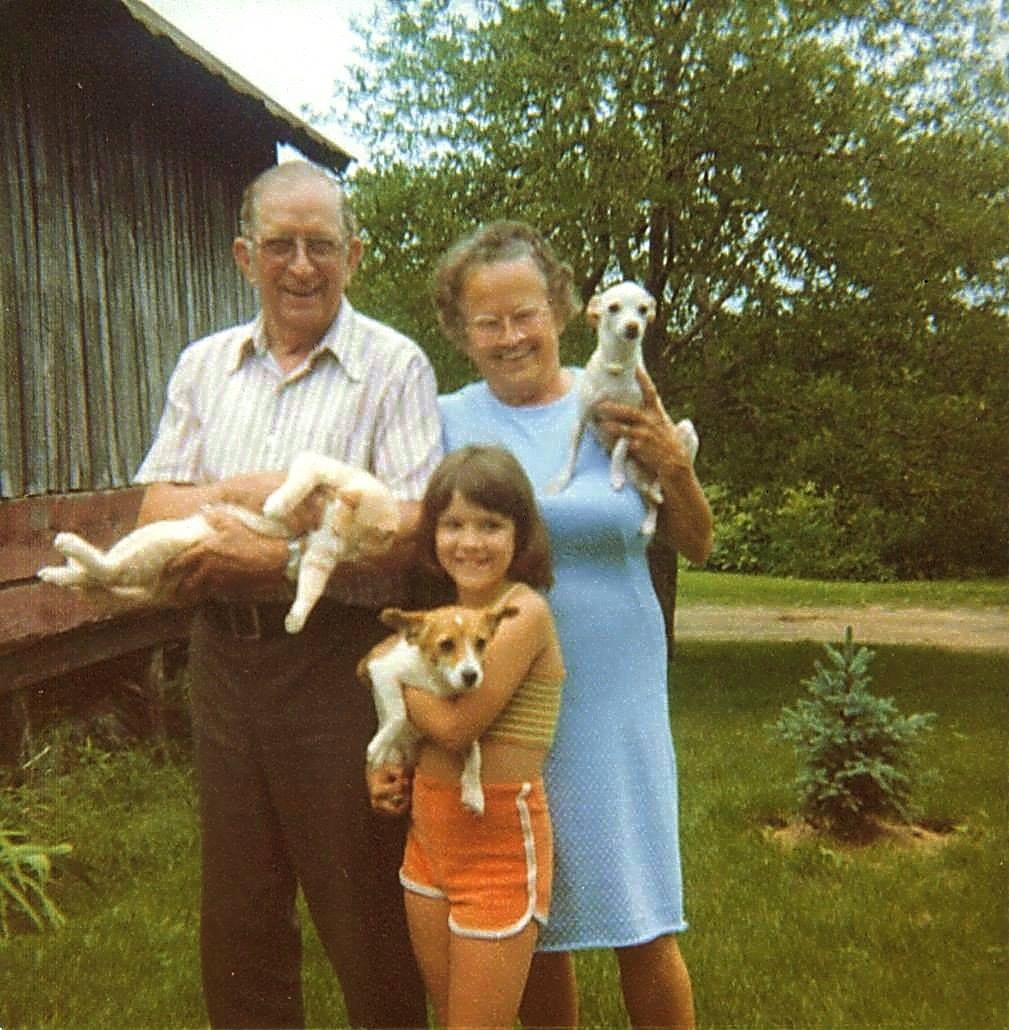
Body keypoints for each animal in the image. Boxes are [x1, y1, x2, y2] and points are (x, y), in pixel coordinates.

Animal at [36, 452, 400, 634]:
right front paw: (277, 505)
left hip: (156, 547)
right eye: (336, 530)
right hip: (156, 536)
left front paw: (296, 618)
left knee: (104, 573)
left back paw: (60, 567)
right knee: (104, 569)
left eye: (348, 544)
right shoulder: (314, 464)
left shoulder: (321, 556)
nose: (341, 543)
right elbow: (299, 482)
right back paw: (64, 556)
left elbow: (311, 587)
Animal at [357, 603, 519, 816]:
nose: (471, 676)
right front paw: (380, 746)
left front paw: (473, 790)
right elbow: (398, 713)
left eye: (481, 643)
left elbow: (474, 752)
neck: (437, 679)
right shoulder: (382, 669)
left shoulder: (461, 723)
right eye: (446, 644)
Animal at [550, 281, 698, 535]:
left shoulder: (632, 421)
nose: (632, 326)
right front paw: (562, 480)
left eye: (643, 310)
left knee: (662, 480)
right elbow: (571, 453)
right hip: (635, 474)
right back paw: (649, 518)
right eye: (613, 308)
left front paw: (615, 476)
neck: (616, 365)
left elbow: (620, 449)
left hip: (685, 435)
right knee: (652, 500)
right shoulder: (582, 419)